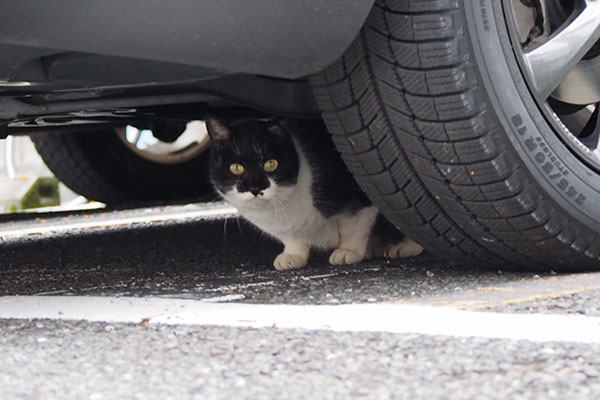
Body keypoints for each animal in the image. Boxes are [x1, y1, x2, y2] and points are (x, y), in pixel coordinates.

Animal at [206, 116, 422, 272]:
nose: (255, 188)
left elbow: (354, 227)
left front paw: (348, 250)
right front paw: (293, 256)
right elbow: (292, 239)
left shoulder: (359, 197)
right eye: (236, 168)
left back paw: (404, 246)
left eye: (271, 163)